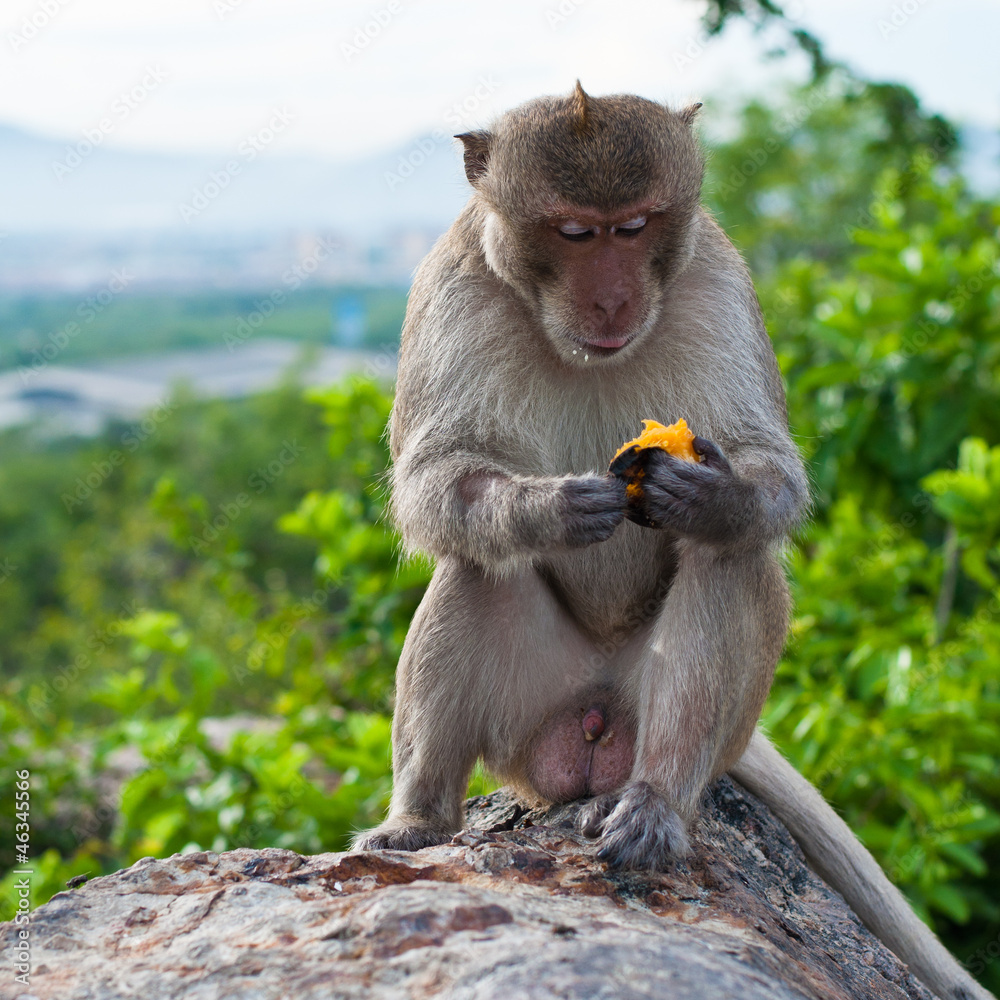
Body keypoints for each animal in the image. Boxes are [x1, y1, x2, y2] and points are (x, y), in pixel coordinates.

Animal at [353, 83, 992, 1000]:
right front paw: (545, 509)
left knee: (729, 560)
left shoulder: (717, 281)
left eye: (636, 225)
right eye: (575, 232)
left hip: (676, 726)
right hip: (528, 726)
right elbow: (434, 480)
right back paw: (419, 821)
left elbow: (766, 468)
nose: (613, 302)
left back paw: (654, 803)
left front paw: (714, 494)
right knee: (478, 568)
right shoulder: (450, 289)